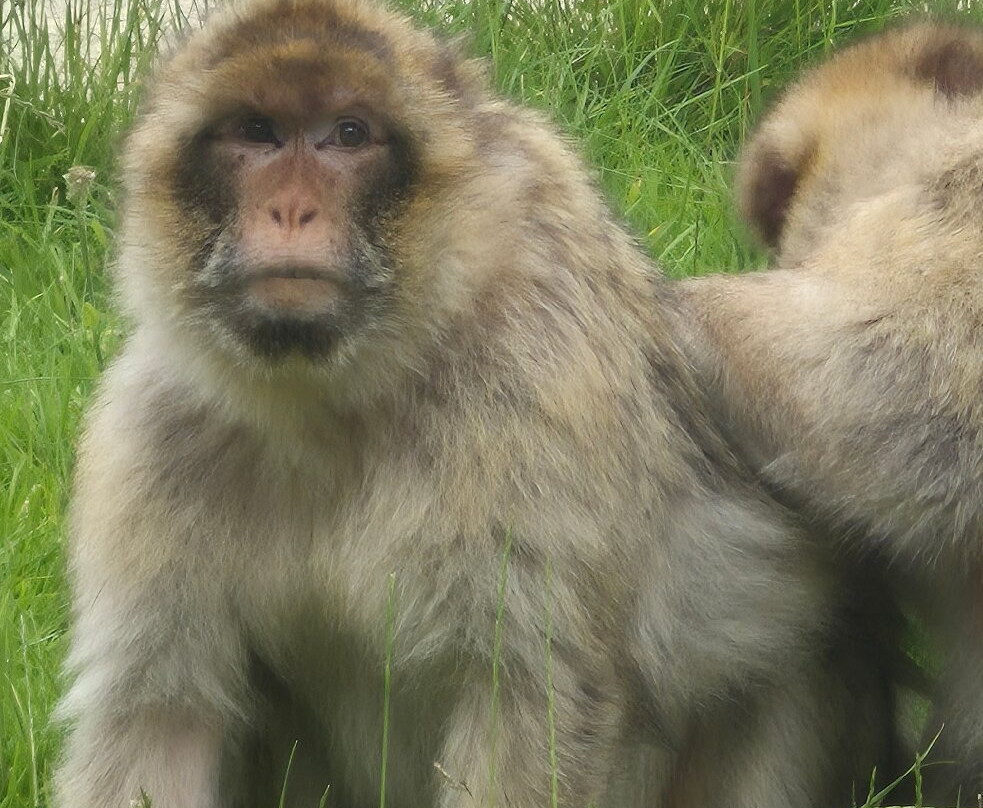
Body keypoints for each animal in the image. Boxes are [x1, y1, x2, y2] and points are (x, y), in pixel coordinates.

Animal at [52, 1, 898, 806]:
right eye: (255, 133)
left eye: (348, 134)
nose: (290, 211)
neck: (335, 407)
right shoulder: (154, 443)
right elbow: (158, 718)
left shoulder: (531, 407)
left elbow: (530, 699)